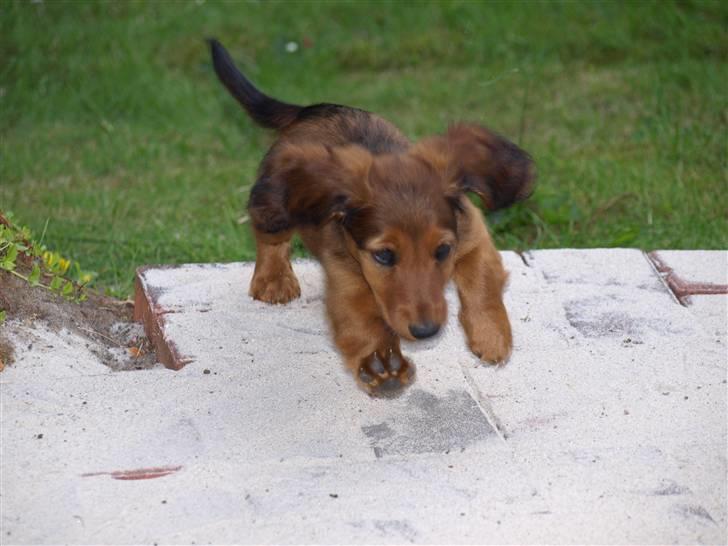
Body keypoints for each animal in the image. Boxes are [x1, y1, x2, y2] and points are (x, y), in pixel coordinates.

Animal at [210, 39, 536, 396]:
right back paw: (273, 279)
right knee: (269, 236)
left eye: (442, 251)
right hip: (276, 206)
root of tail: (310, 109)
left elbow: (482, 280)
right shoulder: (345, 276)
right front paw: (380, 361)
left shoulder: (473, 236)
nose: (426, 331)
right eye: (383, 256)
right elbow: (363, 321)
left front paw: (491, 335)